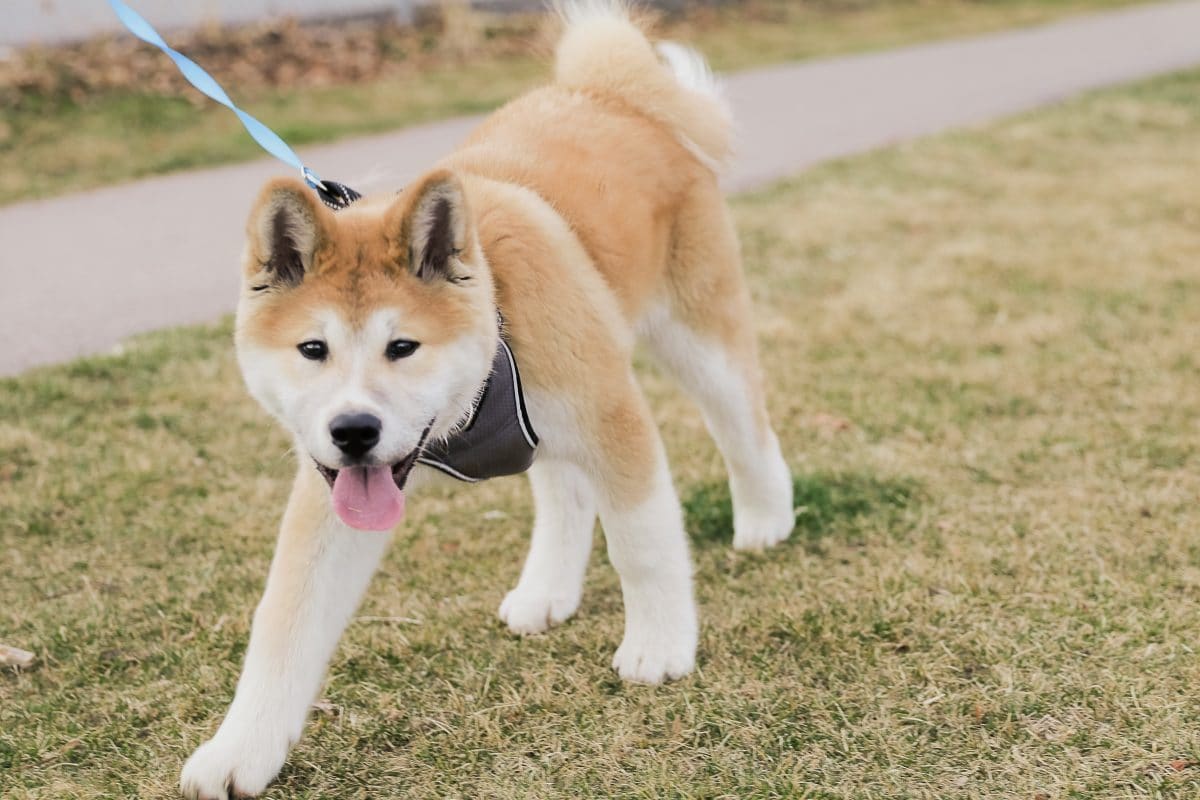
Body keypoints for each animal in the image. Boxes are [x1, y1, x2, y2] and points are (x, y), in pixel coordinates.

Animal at [180, 3, 796, 796]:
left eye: (402, 347)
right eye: (312, 350)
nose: (353, 430)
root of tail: (608, 94)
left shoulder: (613, 419)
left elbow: (643, 546)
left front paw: (660, 647)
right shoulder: (331, 495)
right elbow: (285, 624)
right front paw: (241, 751)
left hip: (695, 339)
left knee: (744, 427)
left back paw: (765, 518)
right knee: (564, 490)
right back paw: (547, 591)